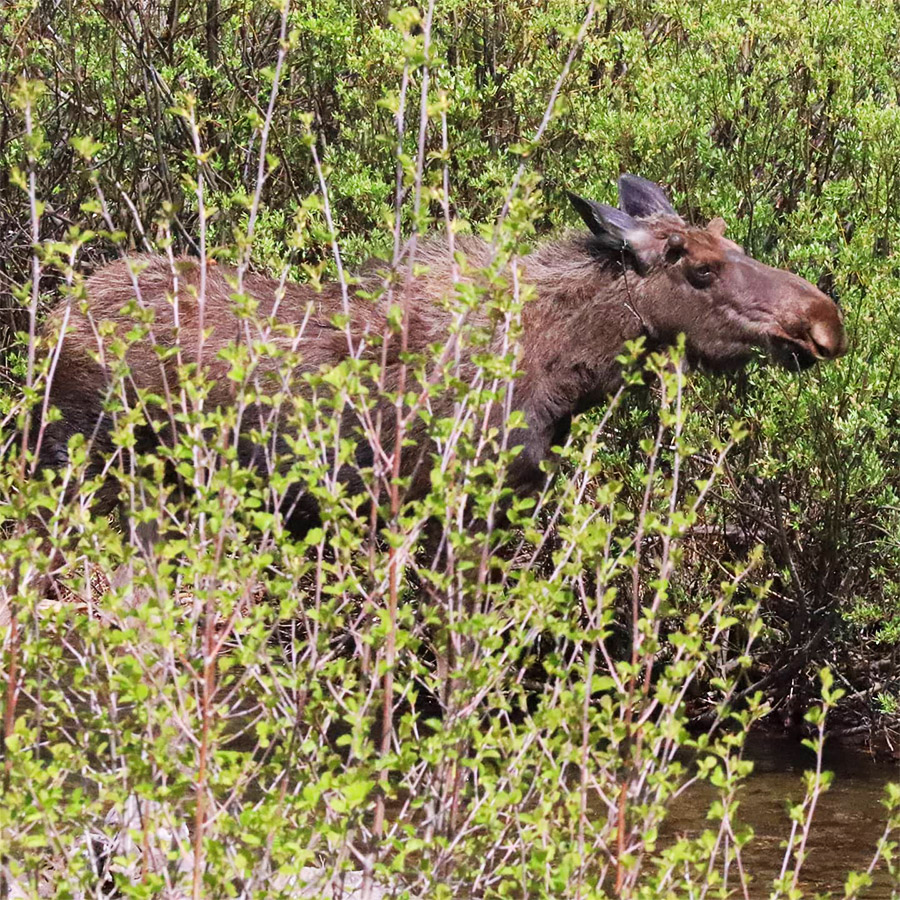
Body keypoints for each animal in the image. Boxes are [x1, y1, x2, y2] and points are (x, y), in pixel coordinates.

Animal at [28, 172, 844, 544]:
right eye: (698, 269)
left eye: (727, 238)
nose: (823, 322)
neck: (567, 372)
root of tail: (51, 317)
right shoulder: (443, 508)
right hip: (93, 471)